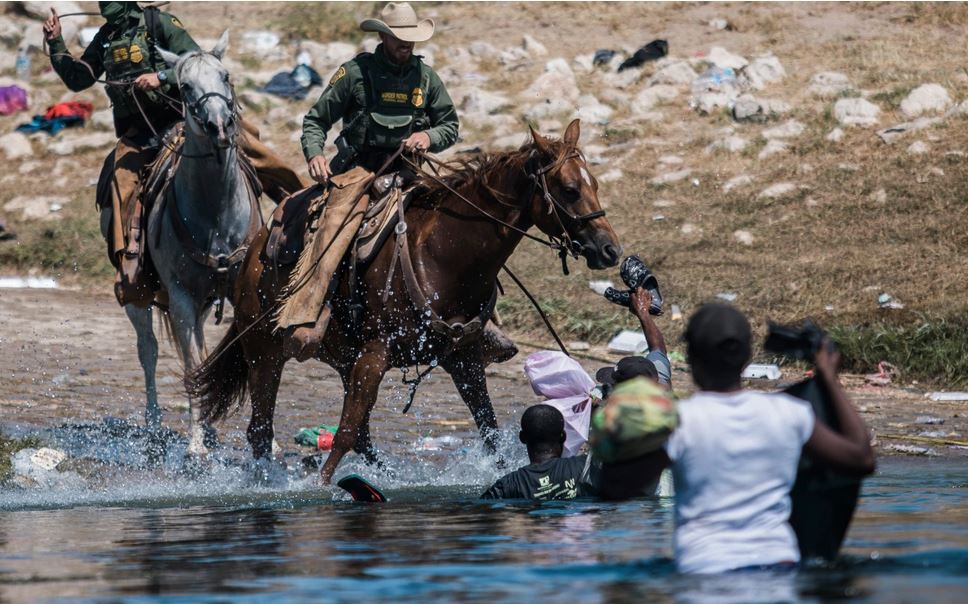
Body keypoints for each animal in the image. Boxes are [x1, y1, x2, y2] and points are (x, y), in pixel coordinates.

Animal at [116, 31, 258, 458]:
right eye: (184, 87)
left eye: (225, 76)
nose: (219, 127)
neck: (216, 214)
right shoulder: (179, 297)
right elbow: (192, 365)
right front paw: (196, 445)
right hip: (140, 296)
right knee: (149, 350)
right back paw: (155, 427)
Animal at [185, 120, 620, 484]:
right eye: (569, 190)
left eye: (596, 185)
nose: (610, 249)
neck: (444, 255)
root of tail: (253, 253)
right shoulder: (376, 354)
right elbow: (344, 433)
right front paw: (320, 486)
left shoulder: (462, 358)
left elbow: (489, 429)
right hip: (265, 353)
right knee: (261, 430)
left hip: (342, 359)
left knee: (357, 435)